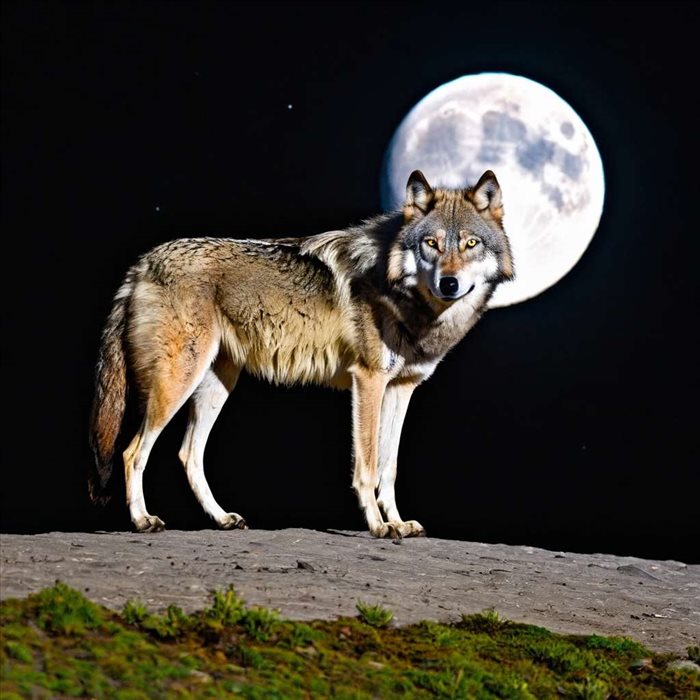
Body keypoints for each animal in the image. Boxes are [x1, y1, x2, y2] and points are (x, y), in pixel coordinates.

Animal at [89, 169, 513, 538]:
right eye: (431, 244)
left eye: (470, 244)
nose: (449, 283)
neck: (407, 300)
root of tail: (143, 263)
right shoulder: (368, 381)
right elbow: (368, 466)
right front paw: (378, 526)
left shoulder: (401, 388)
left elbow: (389, 467)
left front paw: (398, 522)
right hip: (177, 383)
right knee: (131, 453)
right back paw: (143, 520)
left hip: (216, 386)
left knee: (188, 455)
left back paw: (222, 519)